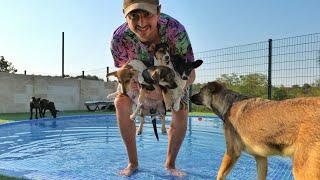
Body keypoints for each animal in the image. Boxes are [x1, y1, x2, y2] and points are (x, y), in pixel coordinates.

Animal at [190, 81, 320, 180]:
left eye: (200, 90)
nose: (189, 97)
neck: (230, 103)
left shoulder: (232, 151)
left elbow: (220, 174)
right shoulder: (260, 158)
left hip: (303, 170)